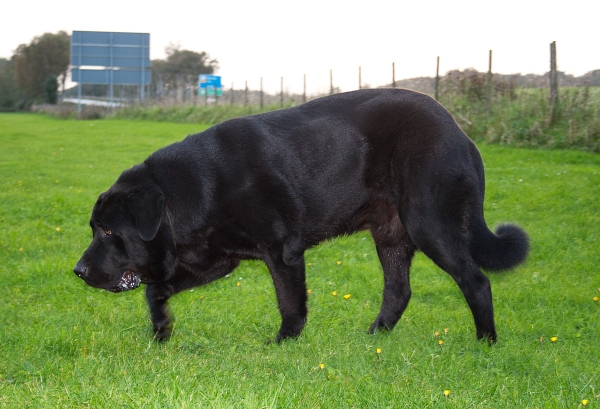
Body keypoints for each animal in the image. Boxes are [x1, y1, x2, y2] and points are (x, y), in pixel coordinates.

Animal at [72, 88, 528, 342]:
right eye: (94, 229)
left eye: (109, 231)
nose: (78, 271)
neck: (189, 193)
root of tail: (461, 133)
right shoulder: (218, 260)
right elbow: (156, 290)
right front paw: (162, 331)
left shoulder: (282, 251)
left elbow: (290, 303)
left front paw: (283, 345)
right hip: (391, 234)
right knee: (398, 291)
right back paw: (373, 338)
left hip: (428, 221)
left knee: (476, 280)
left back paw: (485, 342)